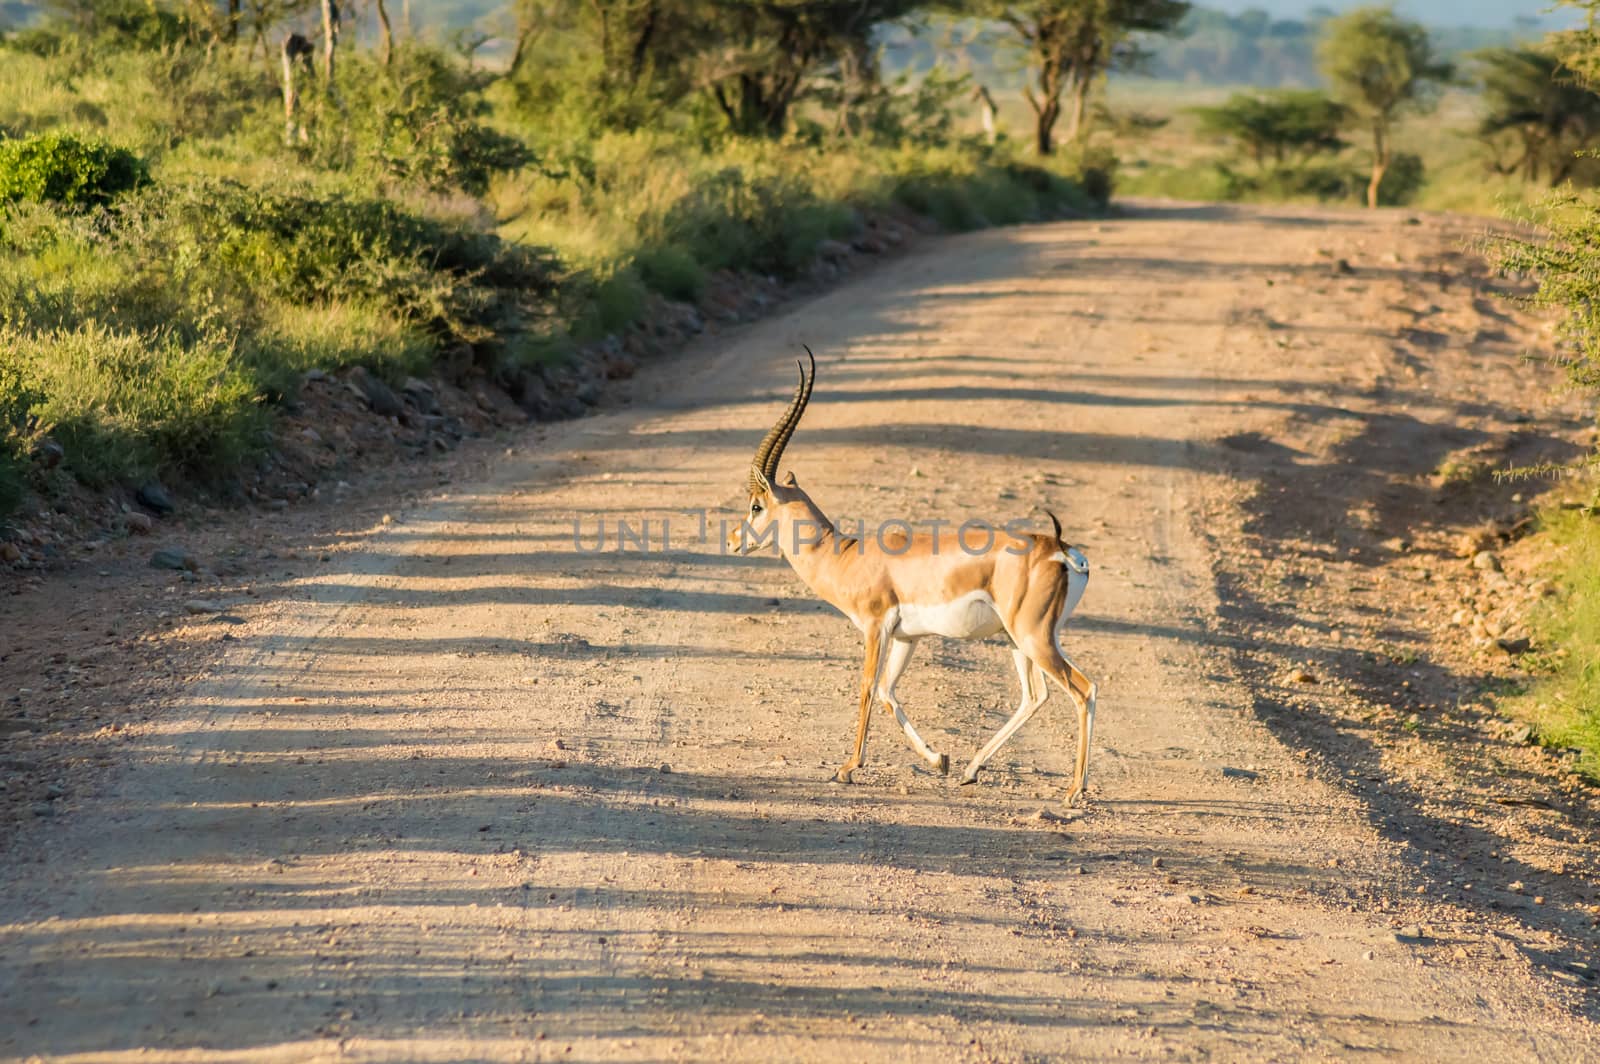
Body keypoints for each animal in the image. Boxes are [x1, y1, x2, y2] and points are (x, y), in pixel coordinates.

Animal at [729, 352, 1094, 800]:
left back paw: (1073, 791)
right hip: (1020, 639)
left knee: (1082, 690)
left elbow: (868, 686)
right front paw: (940, 760)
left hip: (1033, 637)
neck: (845, 556)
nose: (732, 540)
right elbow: (888, 692)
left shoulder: (875, 627)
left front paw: (847, 768)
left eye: (756, 506)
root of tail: (1061, 550)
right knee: (1035, 696)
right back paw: (970, 769)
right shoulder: (907, 637)